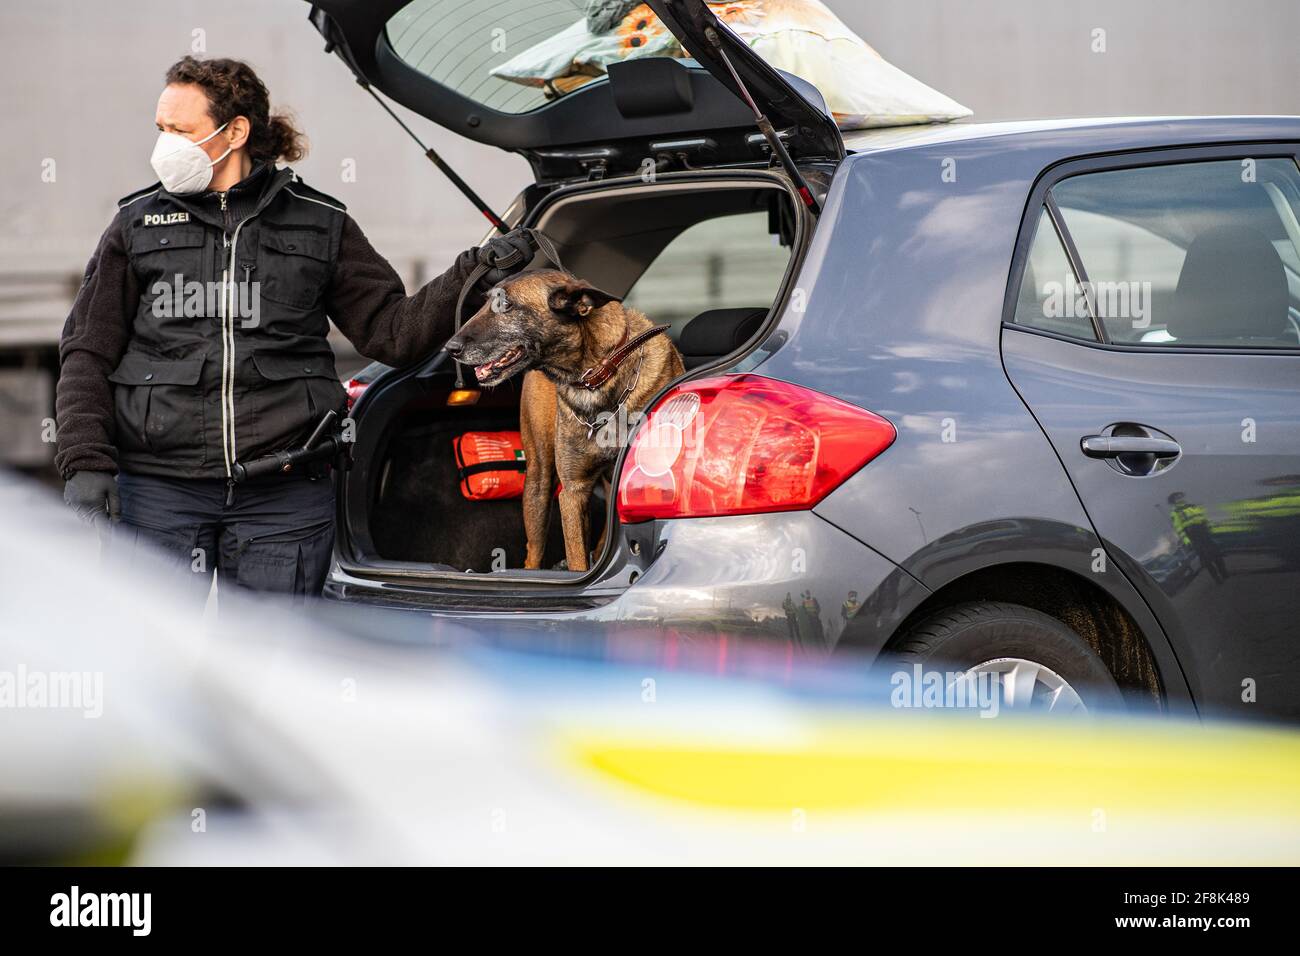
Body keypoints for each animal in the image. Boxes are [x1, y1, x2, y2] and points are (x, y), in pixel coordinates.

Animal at [444, 269, 686, 572]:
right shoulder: (572, 493)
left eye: (506, 305)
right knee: (533, 554)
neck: (598, 375)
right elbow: (577, 559)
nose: (449, 348)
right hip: (538, 482)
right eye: (486, 301)